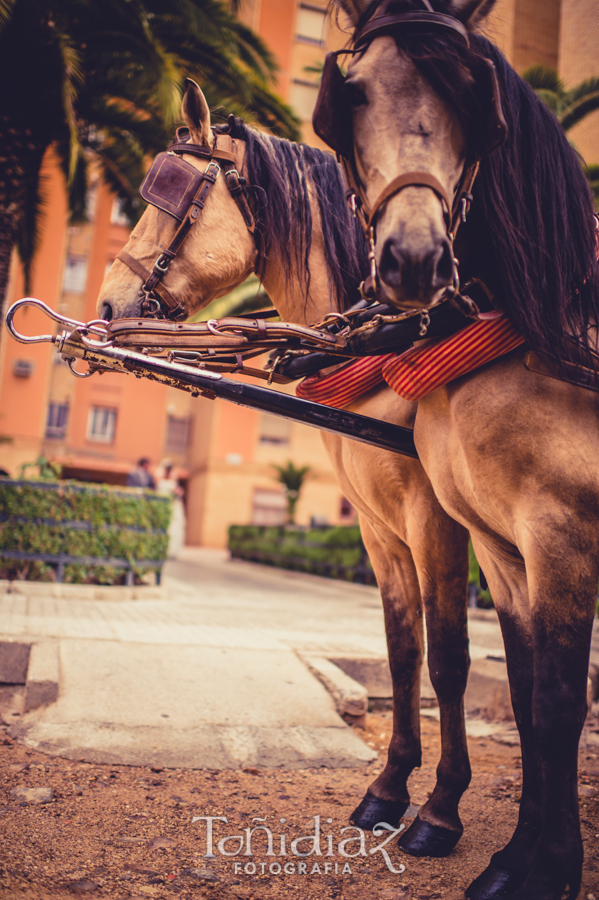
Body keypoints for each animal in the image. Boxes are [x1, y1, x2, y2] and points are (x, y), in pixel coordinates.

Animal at [97, 82, 474, 856]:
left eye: (174, 194)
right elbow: (402, 649)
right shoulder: (379, 528)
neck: (393, 339)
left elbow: (449, 658)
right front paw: (389, 789)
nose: (108, 303)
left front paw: (441, 808)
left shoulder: (438, 522)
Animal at [330, 1, 599, 900]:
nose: (413, 259)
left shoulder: (555, 536)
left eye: (474, 102)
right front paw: (516, 855)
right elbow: (518, 689)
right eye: (352, 96)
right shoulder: (498, 545)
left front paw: (544, 867)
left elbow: (552, 698)